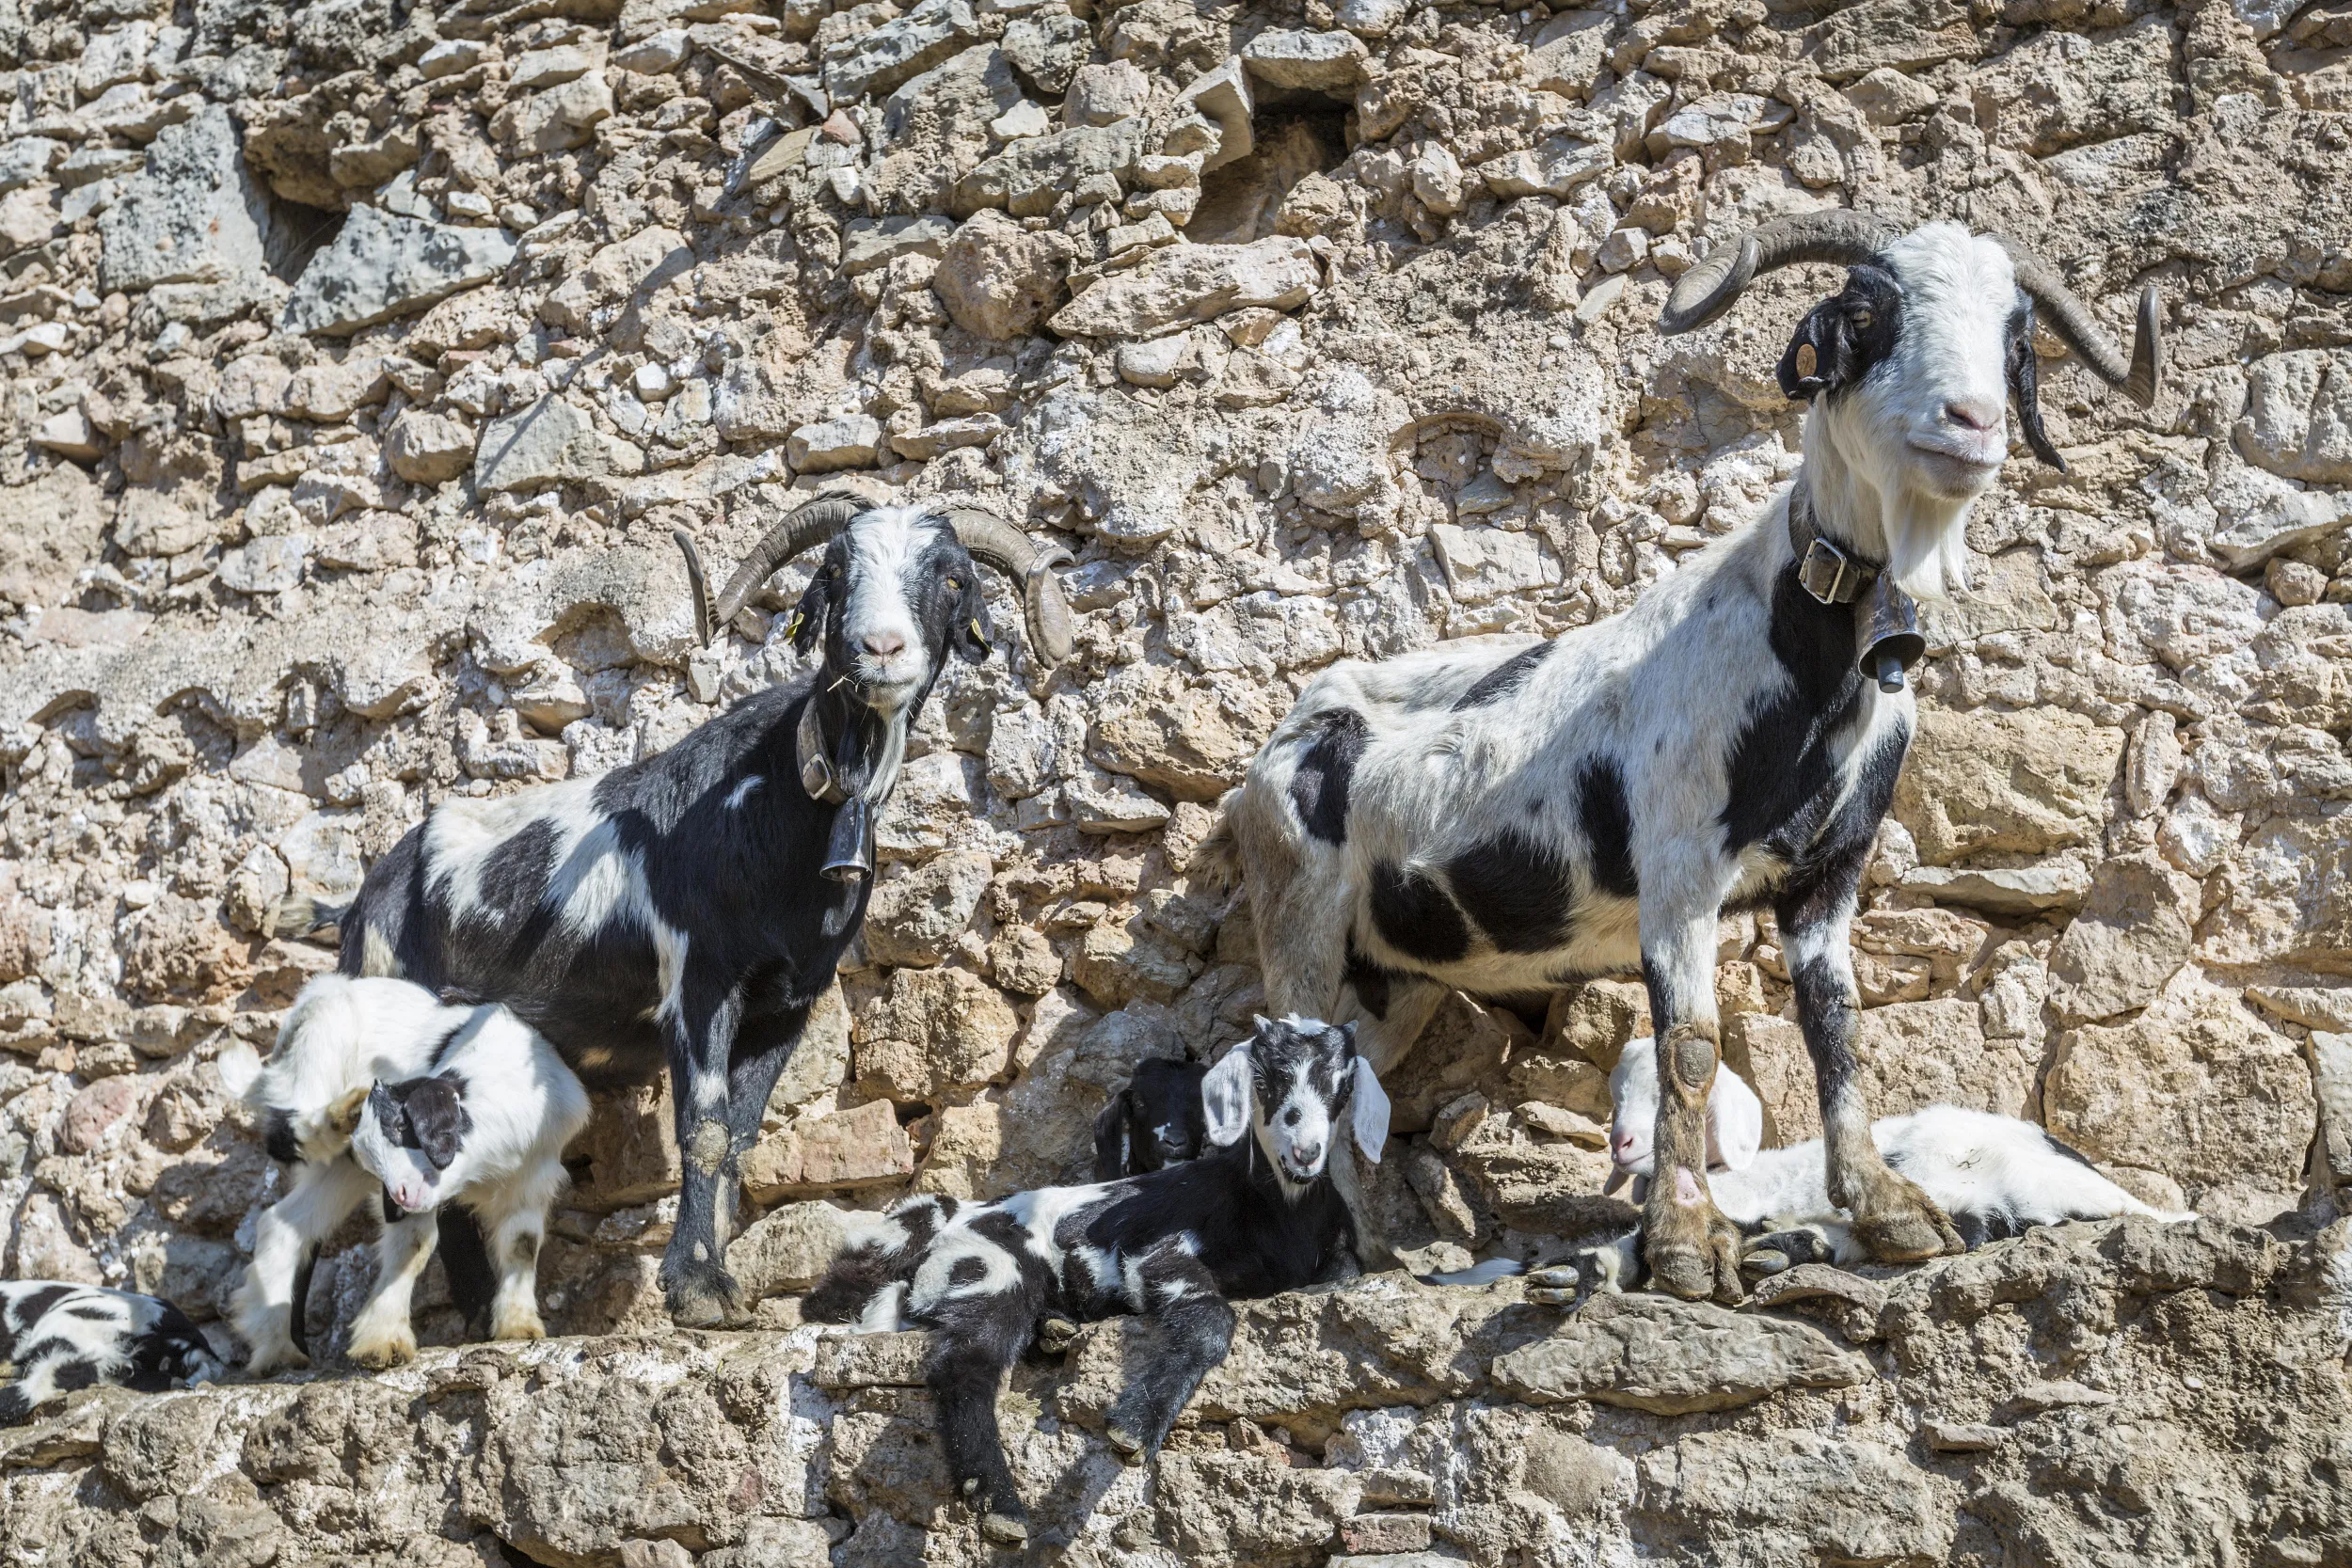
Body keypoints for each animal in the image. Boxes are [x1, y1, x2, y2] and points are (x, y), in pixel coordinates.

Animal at [226, 975, 589, 1372]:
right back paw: (342, 1113)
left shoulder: (532, 1178)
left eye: (403, 1126)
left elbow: (521, 1244)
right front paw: (382, 1343)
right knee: (294, 1128)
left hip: (340, 1170)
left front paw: (519, 1328)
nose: (400, 1195)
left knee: (283, 1223)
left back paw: (276, 1350)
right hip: (316, 1057)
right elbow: (413, 1246)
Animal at [276, 493, 1074, 1327]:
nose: (881, 647)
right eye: (833, 569)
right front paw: (695, 1286)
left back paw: (480, 1315)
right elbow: (707, 1130)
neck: (779, 805)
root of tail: (358, 903)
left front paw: (718, 1271)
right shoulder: (698, 980)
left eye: (952, 578)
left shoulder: (787, 1004)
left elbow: (744, 1138)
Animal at [1206, 214, 2161, 1302]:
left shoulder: (1830, 873)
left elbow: (1837, 1026)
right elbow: (1691, 1048)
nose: (1970, 424)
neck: (1800, 653)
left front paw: (1888, 1210)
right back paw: (1330, 1266)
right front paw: (1681, 1244)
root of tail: (1284, 738)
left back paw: (1367, 1256)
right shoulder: (1678, 869)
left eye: (2016, 339)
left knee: (1354, 1069)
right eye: (1864, 312)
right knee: (1294, 1051)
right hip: (1298, 917)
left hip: (1397, 971)